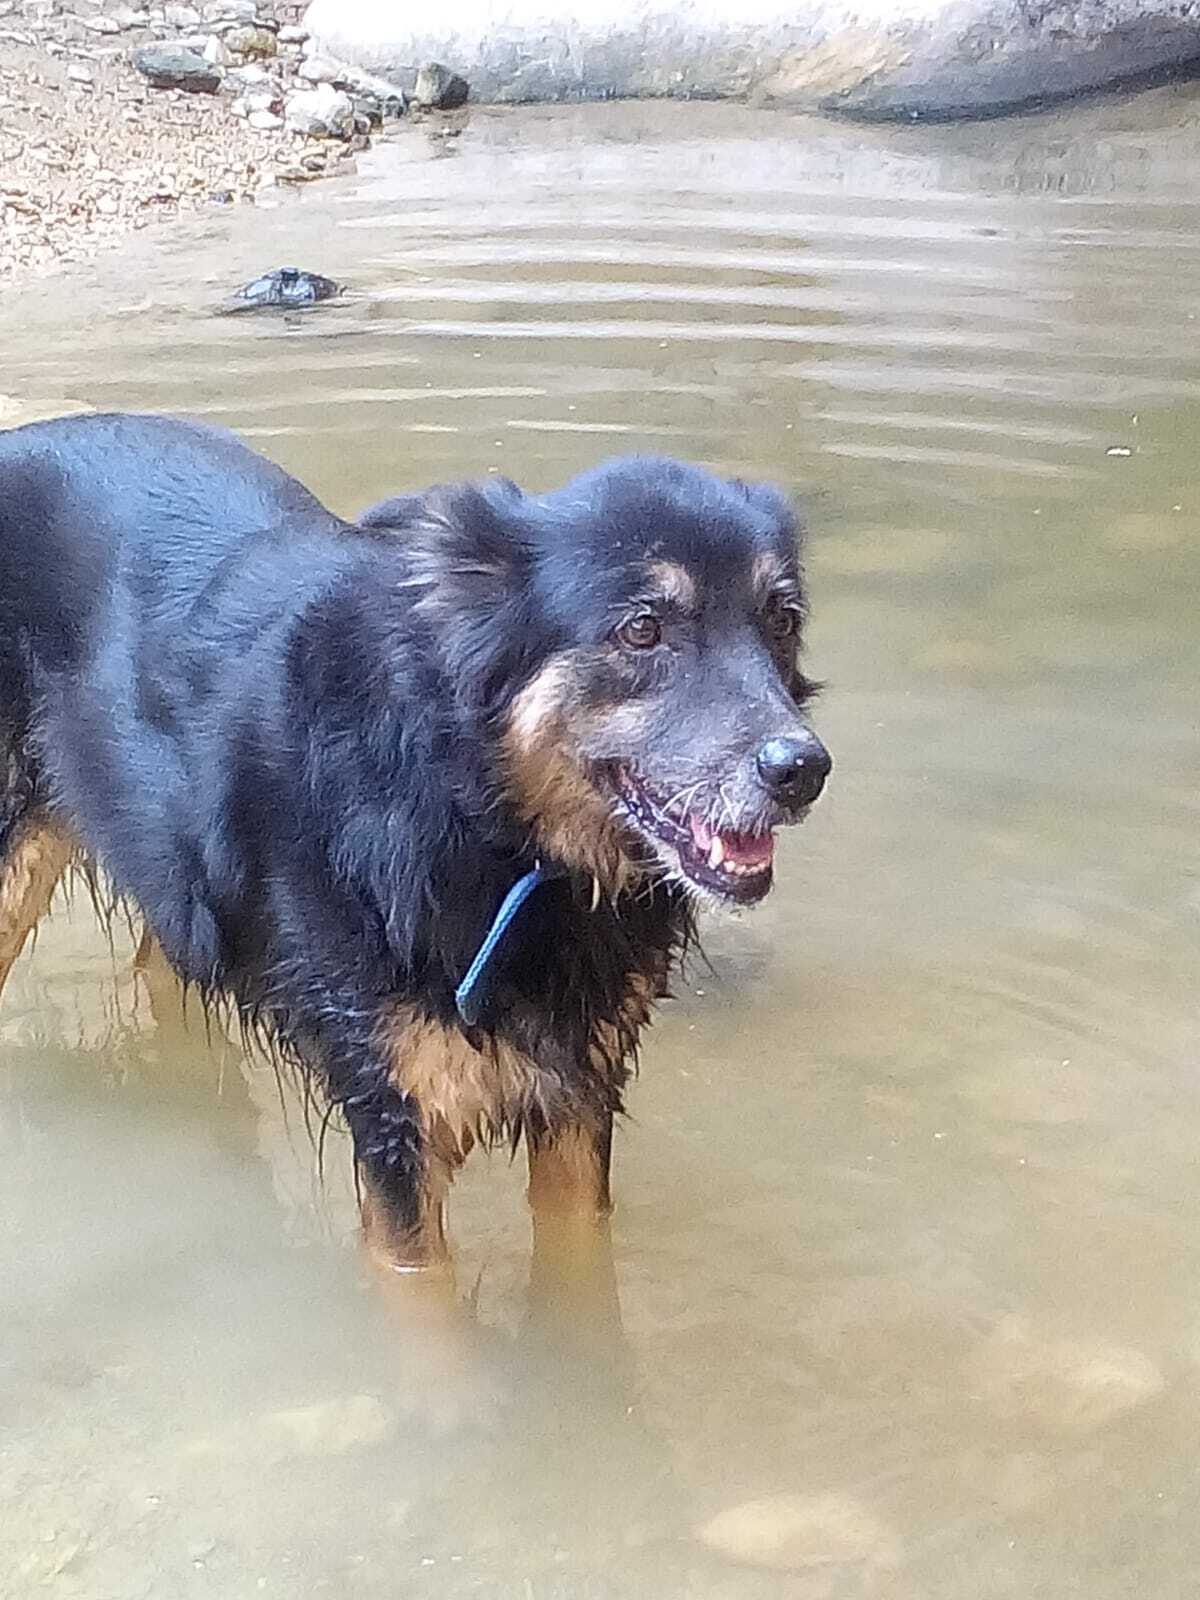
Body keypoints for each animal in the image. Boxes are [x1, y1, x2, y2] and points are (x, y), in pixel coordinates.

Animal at [0, 412, 832, 1273]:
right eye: (642, 629)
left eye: (781, 619)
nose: (802, 770)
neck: (488, 828)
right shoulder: (397, 1128)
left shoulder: (579, 1097)